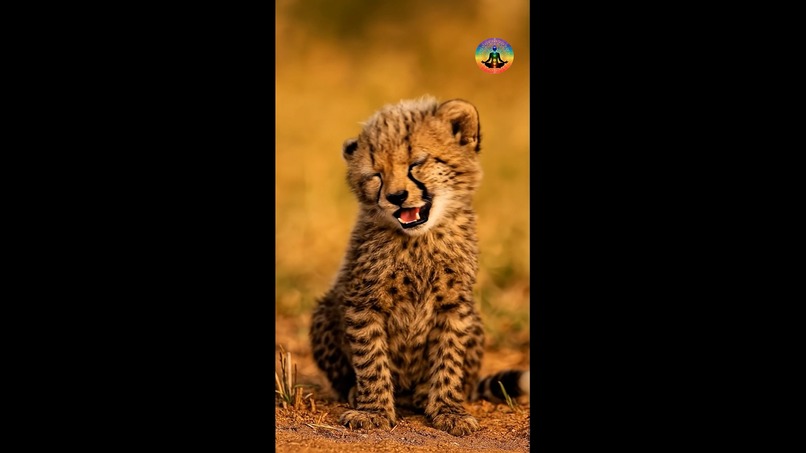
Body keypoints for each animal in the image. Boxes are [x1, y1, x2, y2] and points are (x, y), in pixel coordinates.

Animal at [309, 96, 529, 437]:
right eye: (376, 175)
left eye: (416, 164)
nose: (397, 196)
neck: (419, 240)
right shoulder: (363, 303)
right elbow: (371, 359)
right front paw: (373, 410)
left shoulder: (454, 305)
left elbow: (449, 359)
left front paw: (449, 410)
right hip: (324, 311)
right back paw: (356, 392)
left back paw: (426, 394)